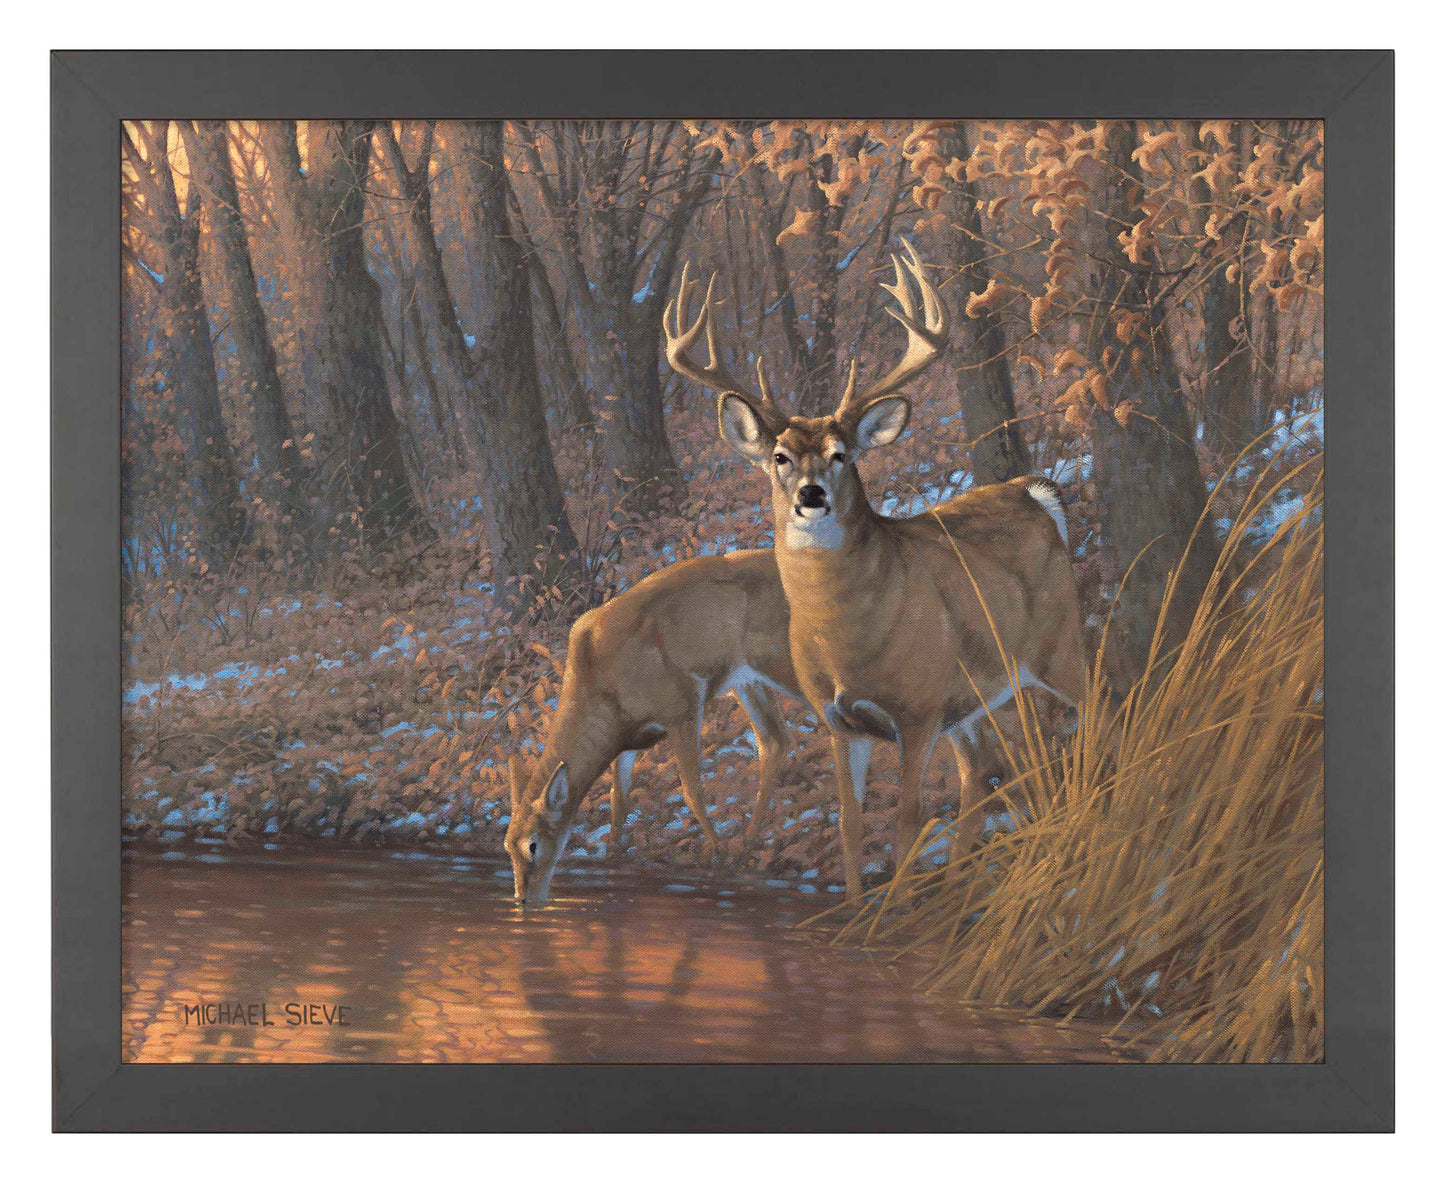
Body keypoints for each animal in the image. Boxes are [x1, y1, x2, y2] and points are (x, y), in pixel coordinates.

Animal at [505, 549, 877, 906]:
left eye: (533, 845)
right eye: (507, 846)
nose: (523, 898)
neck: (600, 686)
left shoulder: (682, 703)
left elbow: (691, 788)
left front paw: (716, 852)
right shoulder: (626, 743)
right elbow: (618, 800)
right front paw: (613, 856)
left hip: (787, 663)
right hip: (747, 680)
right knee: (775, 739)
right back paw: (748, 844)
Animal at [664, 245, 1088, 899]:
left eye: (842, 453)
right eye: (779, 456)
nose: (811, 495)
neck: (848, 638)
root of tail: (1032, 491)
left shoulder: (916, 710)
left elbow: (907, 823)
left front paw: (894, 909)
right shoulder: (841, 720)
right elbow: (850, 825)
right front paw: (860, 909)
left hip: (1056, 644)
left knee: (1102, 710)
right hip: (971, 692)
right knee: (985, 767)